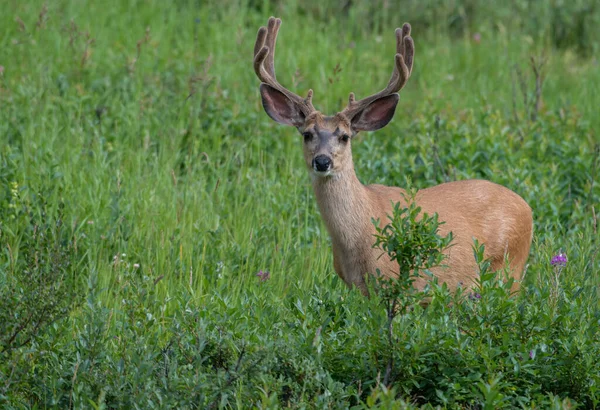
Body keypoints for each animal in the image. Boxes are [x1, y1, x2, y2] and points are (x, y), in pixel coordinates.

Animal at [251, 17, 532, 296]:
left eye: (345, 136)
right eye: (307, 134)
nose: (322, 161)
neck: (359, 237)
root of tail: (527, 208)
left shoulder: (400, 283)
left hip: (511, 270)